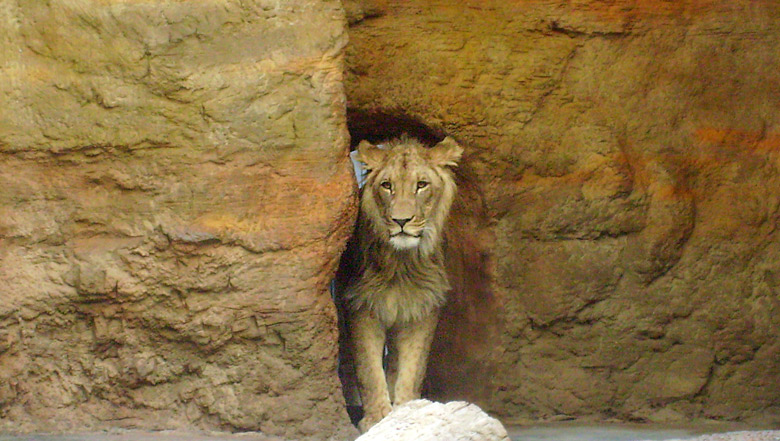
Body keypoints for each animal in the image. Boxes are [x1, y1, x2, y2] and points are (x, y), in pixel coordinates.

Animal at [336, 133, 464, 430]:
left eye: (421, 185)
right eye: (387, 186)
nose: (401, 221)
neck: (401, 263)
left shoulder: (423, 309)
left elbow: (412, 367)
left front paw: (406, 411)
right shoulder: (360, 306)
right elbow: (368, 368)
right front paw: (376, 418)